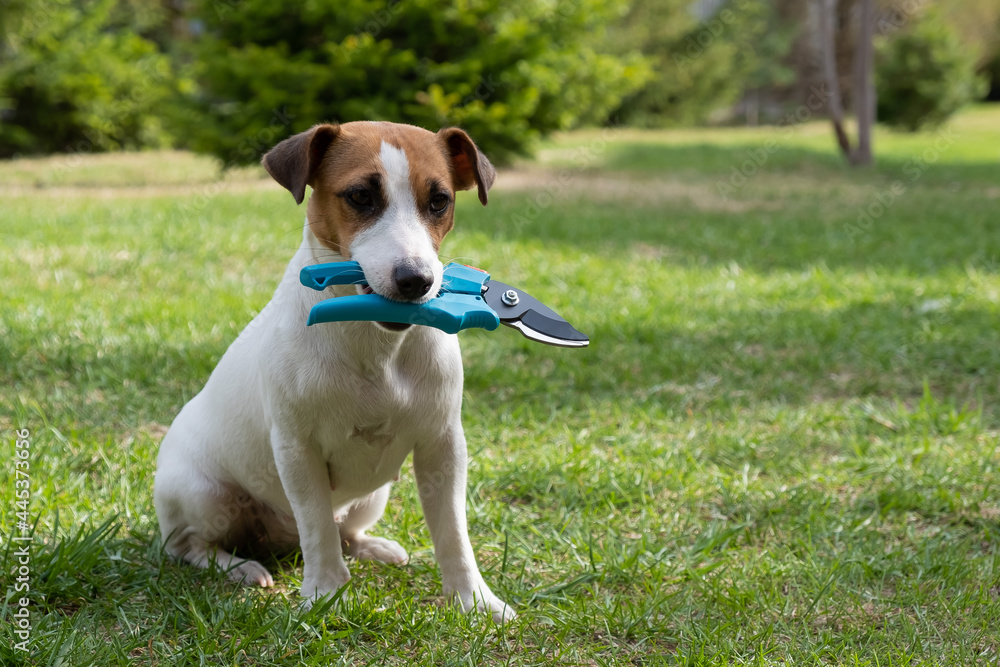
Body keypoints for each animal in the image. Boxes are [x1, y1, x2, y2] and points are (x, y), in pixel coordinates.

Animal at [158, 118, 516, 620]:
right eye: (361, 195)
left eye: (439, 200)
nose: (417, 280)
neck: (377, 345)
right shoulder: (297, 449)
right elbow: (317, 529)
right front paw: (325, 593)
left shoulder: (443, 444)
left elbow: (453, 533)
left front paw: (474, 600)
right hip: (204, 495)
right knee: (191, 546)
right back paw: (239, 567)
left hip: (372, 496)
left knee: (345, 529)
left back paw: (373, 547)